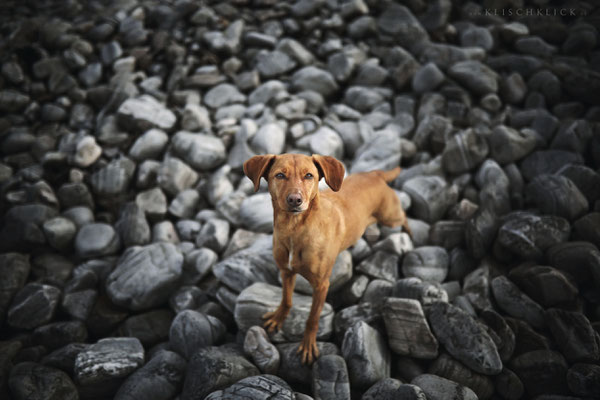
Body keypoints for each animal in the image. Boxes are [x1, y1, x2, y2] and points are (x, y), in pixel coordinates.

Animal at [241, 154, 410, 366]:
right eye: (279, 175)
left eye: (309, 175)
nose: (295, 200)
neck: (294, 230)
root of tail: (374, 174)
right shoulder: (286, 272)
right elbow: (287, 299)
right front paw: (279, 317)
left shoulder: (321, 285)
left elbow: (313, 319)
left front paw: (307, 345)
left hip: (391, 217)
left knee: (404, 217)